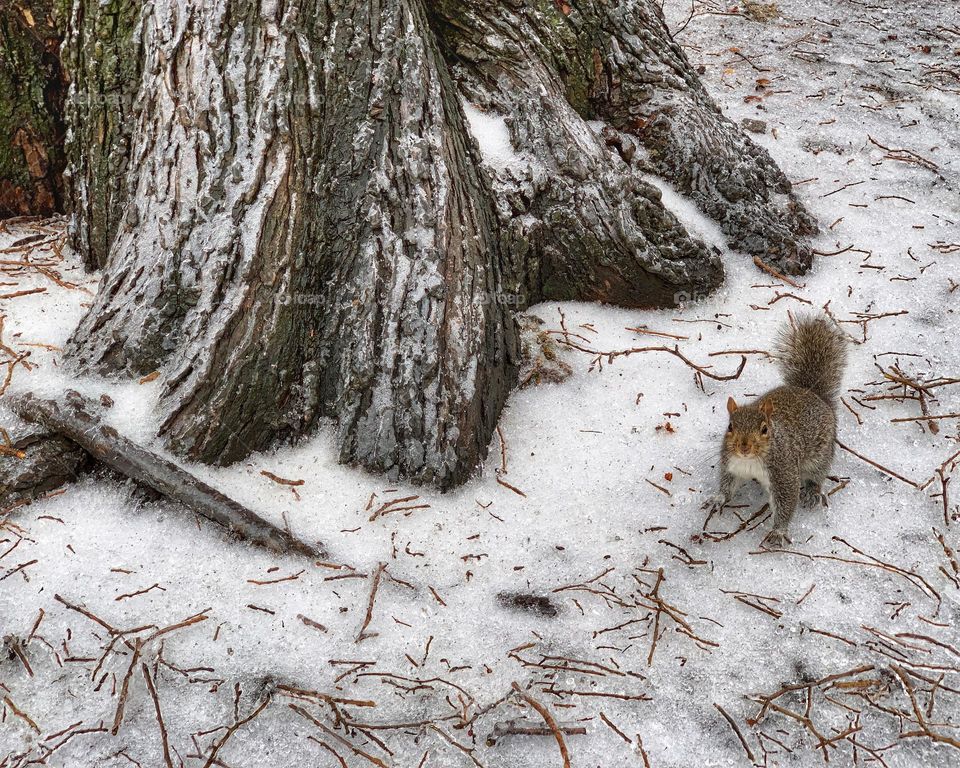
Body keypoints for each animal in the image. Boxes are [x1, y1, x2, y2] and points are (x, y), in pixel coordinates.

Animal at [704, 316, 848, 548]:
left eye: (764, 429)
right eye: (730, 426)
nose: (743, 447)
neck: (750, 461)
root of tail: (813, 394)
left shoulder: (783, 472)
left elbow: (786, 501)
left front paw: (779, 531)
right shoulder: (732, 465)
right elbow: (727, 483)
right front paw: (718, 498)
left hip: (821, 453)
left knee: (818, 474)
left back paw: (812, 491)